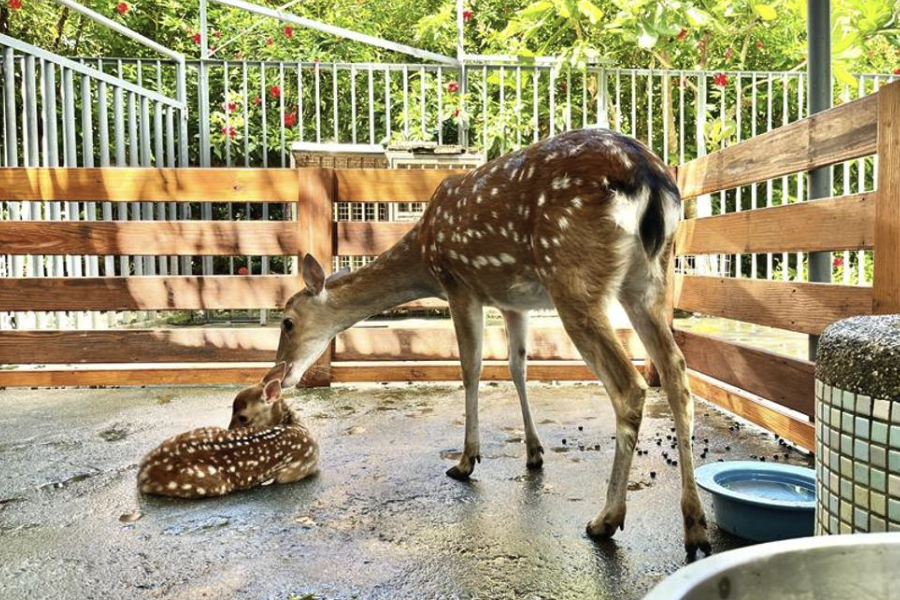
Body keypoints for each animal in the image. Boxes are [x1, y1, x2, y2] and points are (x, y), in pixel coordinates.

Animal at [139, 364, 322, 500]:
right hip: (212, 481)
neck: (295, 424)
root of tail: (143, 474)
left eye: (243, 417)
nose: (228, 430)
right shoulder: (296, 469)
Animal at [274, 129, 712, 556]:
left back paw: (605, 520)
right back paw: (695, 526)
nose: (279, 377)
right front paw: (534, 453)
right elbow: (518, 367)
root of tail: (649, 178)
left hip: (572, 273)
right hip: (648, 281)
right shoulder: (513, 301)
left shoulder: (460, 284)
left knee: (630, 386)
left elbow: (471, 369)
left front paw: (466, 460)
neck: (424, 255)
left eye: (288, 322)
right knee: (677, 373)